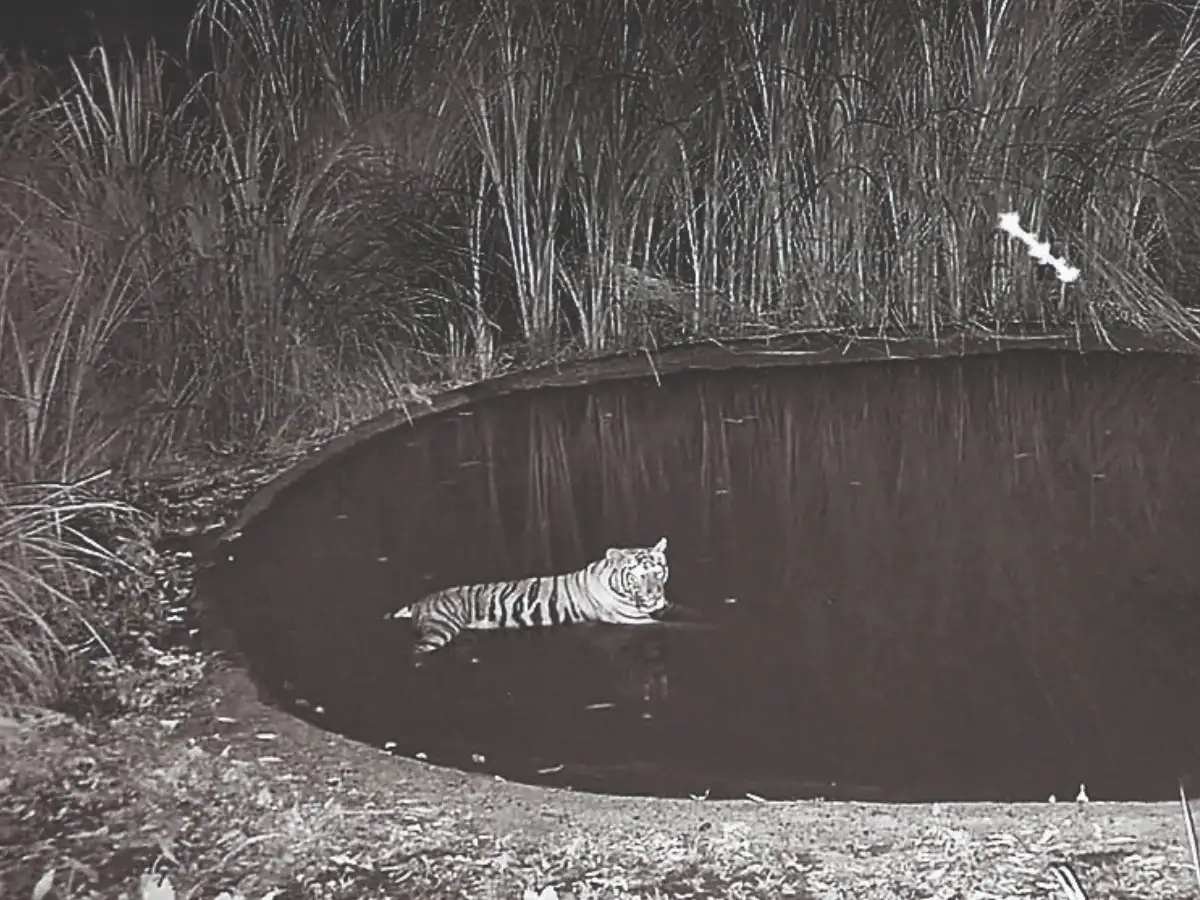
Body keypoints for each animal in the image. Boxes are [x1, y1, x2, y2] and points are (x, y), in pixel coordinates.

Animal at [389, 537, 670, 656]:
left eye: (658, 572)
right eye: (638, 576)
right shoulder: (634, 620)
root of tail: (420, 601)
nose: (655, 596)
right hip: (439, 630)